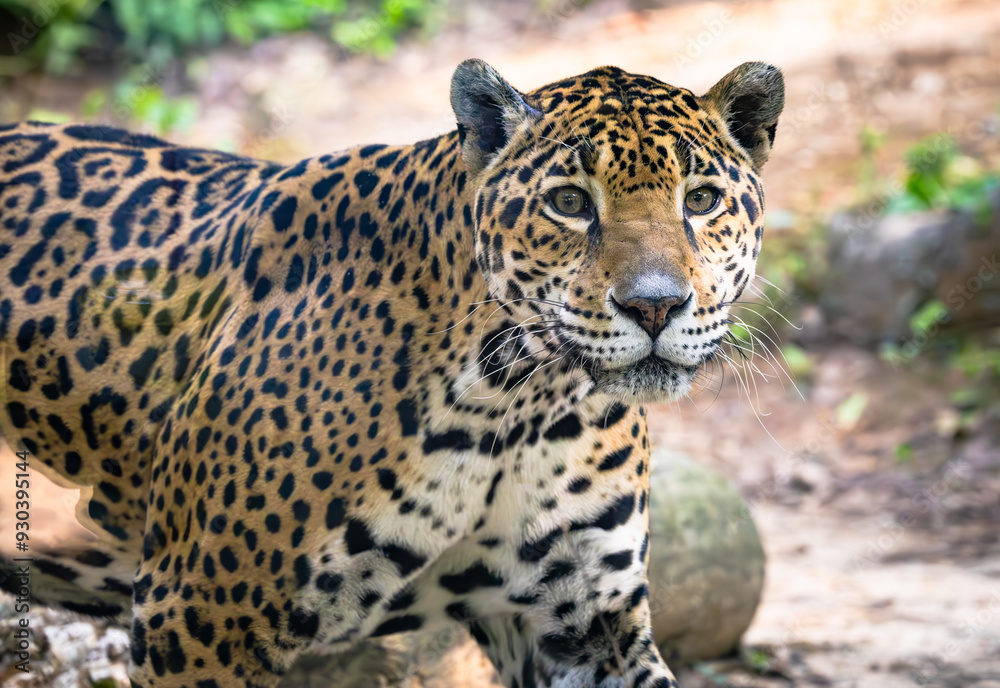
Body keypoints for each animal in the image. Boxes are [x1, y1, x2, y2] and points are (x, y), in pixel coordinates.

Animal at [0, 58, 783, 687]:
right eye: (568, 203)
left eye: (702, 200)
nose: (655, 306)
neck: (517, 402)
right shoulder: (197, 615)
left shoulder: (585, 620)